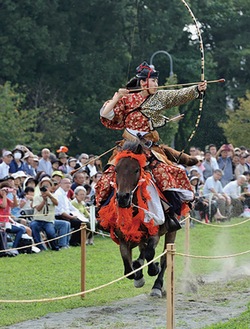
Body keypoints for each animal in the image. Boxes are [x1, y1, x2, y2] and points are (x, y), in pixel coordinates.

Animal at [98, 140, 180, 296]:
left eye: (136, 170)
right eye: (116, 170)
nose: (122, 198)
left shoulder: (155, 233)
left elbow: (150, 254)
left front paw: (153, 269)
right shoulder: (124, 239)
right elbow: (128, 269)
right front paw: (138, 276)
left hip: (171, 231)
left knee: (165, 258)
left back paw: (157, 285)